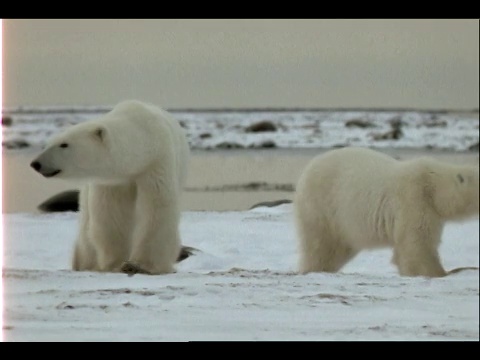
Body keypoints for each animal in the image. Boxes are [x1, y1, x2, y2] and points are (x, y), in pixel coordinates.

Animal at [30, 100, 189, 274]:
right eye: (48, 143)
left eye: (64, 144)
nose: (36, 163)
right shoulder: (113, 180)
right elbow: (111, 214)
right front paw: (116, 263)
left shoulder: (156, 163)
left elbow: (157, 208)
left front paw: (141, 265)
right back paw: (85, 264)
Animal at [294, 148, 478, 278]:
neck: (432, 185)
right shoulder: (414, 199)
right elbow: (417, 243)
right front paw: (438, 272)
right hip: (323, 207)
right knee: (321, 245)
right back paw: (314, 268)